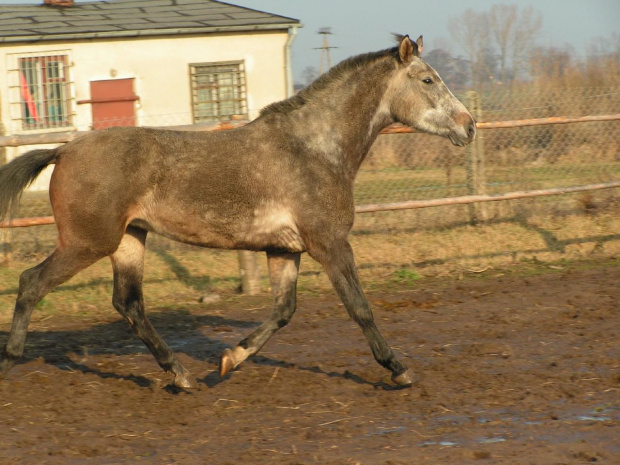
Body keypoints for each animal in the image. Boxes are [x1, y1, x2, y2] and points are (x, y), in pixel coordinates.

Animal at [0, 34, 474, 388]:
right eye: (428, 79)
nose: (468, 126)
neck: (313, 149)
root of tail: (63, 150)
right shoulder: (330, 243)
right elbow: (359, 308)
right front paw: (398, 370)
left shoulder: (285, 250)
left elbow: (283, 311)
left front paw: (228, 361)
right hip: (87, 242)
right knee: (31, 283)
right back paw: (11, 359)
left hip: (130, 239)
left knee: (128, 304)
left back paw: (180, 375)